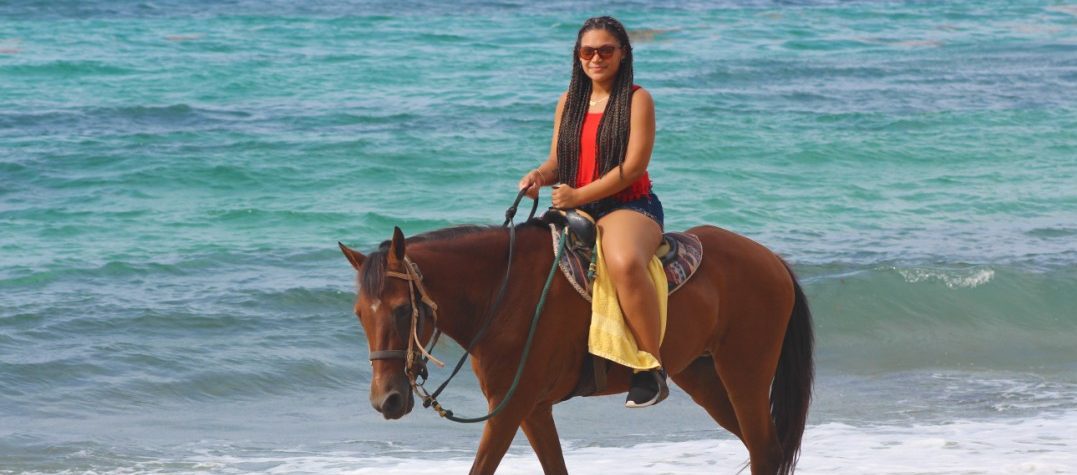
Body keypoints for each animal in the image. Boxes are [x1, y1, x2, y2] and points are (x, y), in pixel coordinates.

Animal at [340, 221, 809, 473]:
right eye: (359, 313)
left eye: (403, 310)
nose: (386, 400)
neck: (502, 291)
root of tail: (772, 260)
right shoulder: (531, 410)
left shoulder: (509, 409)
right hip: (703, 378)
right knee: (761, 448)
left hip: (745, 377)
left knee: (765, 449)